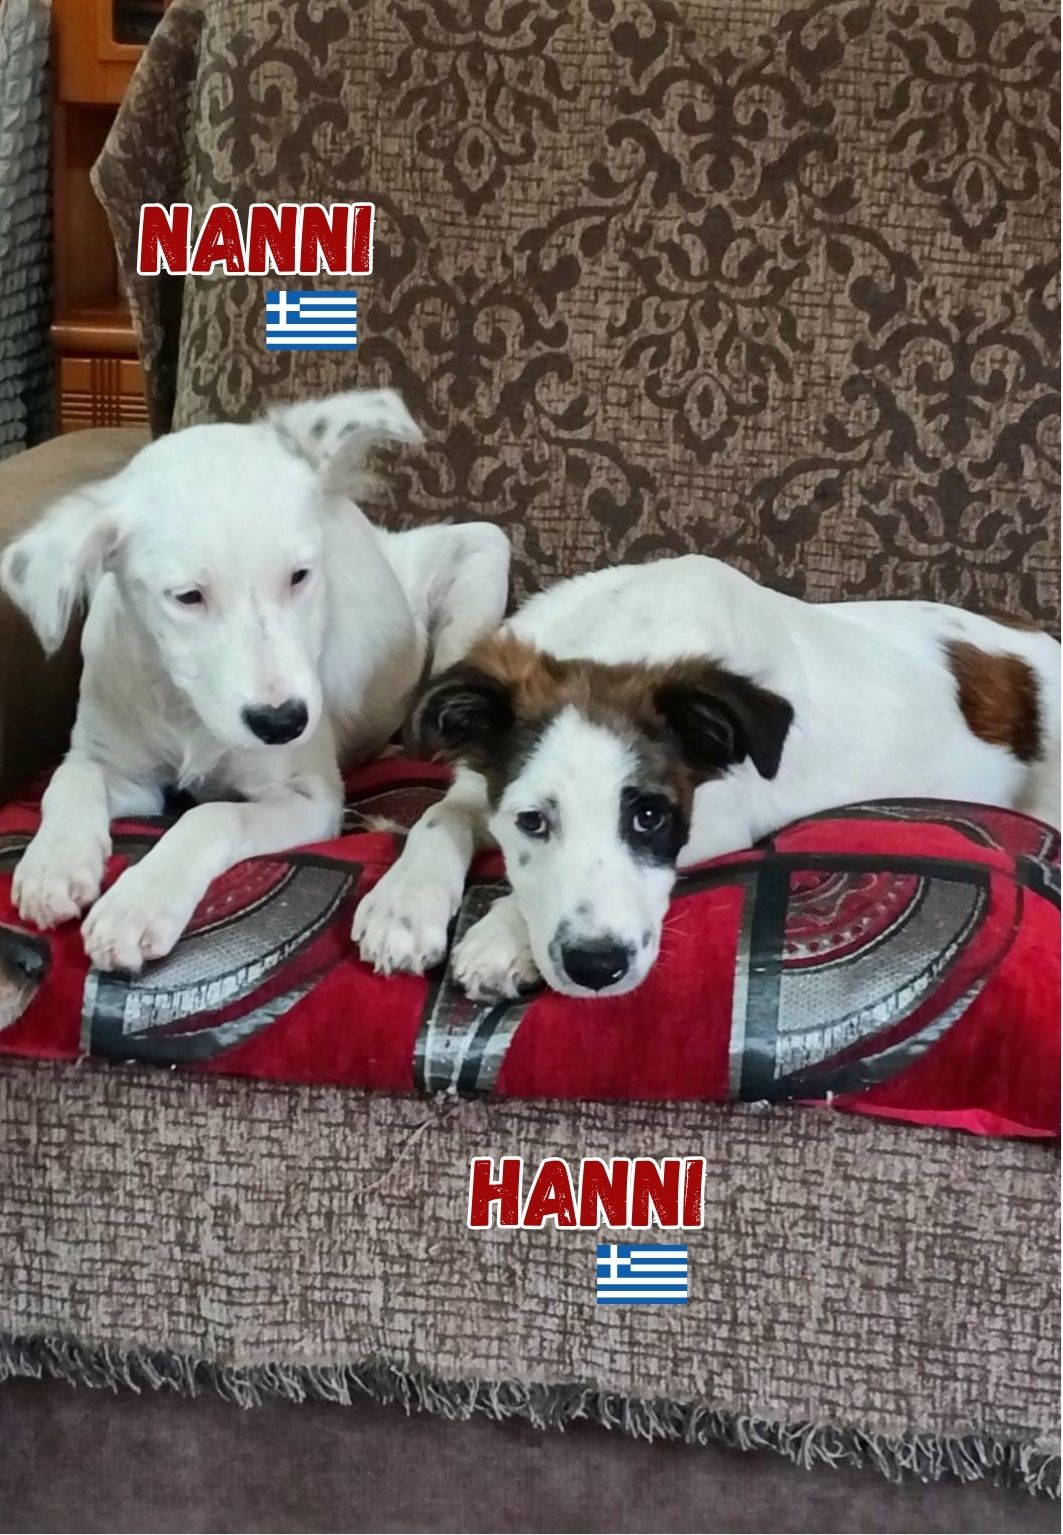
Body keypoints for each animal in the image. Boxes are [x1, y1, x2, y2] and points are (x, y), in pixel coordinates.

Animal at [0, 389, 509, 972]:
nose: (283, 723)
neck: (187, 710)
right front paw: (53, 862)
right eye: (188, 597)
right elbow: (68, 779)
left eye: (300, 576)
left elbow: (211, 816)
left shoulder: (310, 797)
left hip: (483, 555)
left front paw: (139, 900)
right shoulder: (120, 770)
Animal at [354, 555, 1061, 1000]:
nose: (597, 969)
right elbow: (437, 816)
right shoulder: (480, 788)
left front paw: (502, 937)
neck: (623, 636)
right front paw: (403, 904)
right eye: (532, 820)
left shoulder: (718, 824)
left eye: (650, 817)